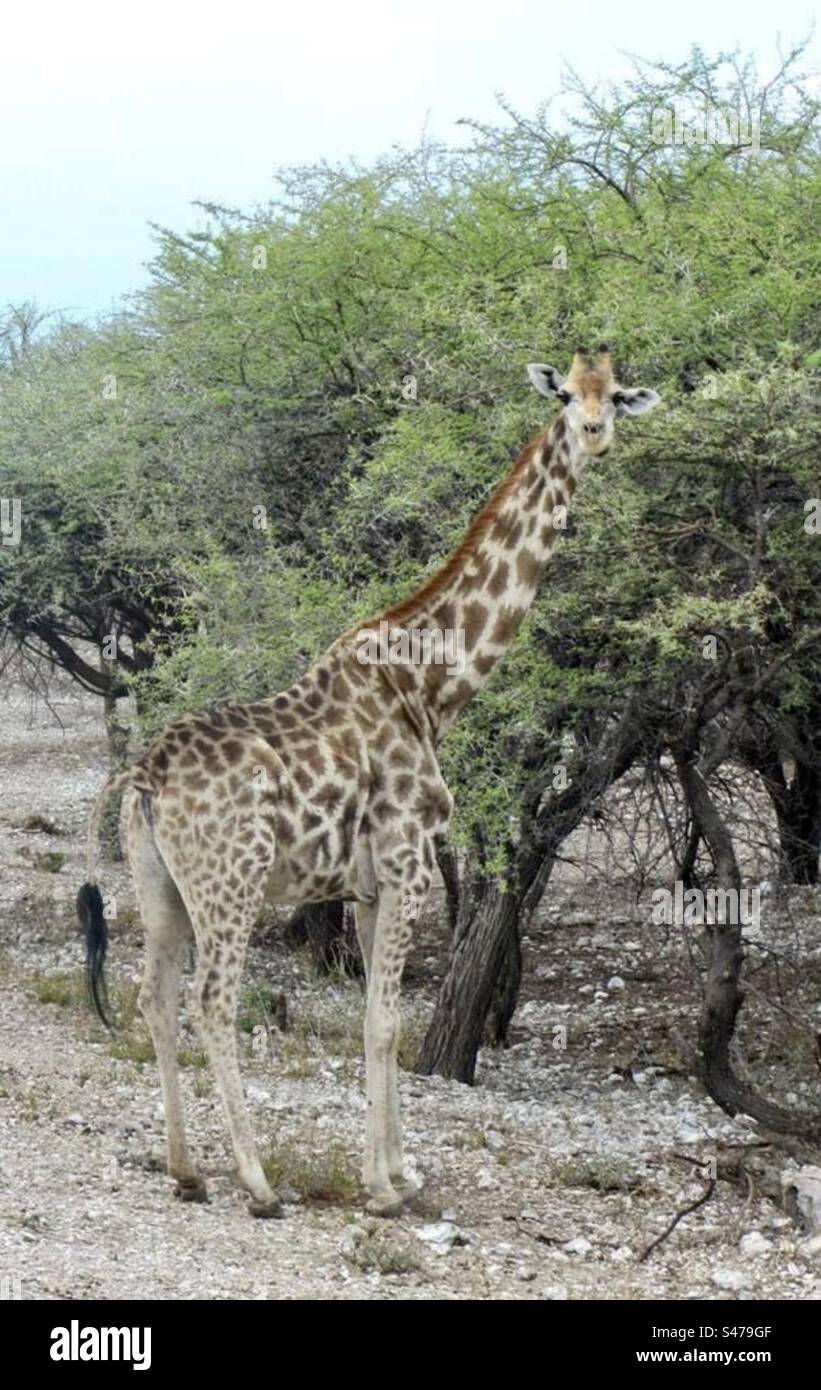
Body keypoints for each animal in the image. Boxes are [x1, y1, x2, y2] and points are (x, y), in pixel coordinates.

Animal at [77, 346, 660, 1218]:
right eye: (565, 396)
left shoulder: (364, 886)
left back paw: (185, 1170)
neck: (433, 687)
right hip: (231, 882)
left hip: (160, 886)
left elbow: (374, 1021)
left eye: (616, 397)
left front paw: (399, 1170)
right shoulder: (408, 867)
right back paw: (256, 1181)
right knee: (214, 1000)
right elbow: (386, 1022)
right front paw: (384, 1187)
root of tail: (142, 772)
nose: (593, 434)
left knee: (155, 996)